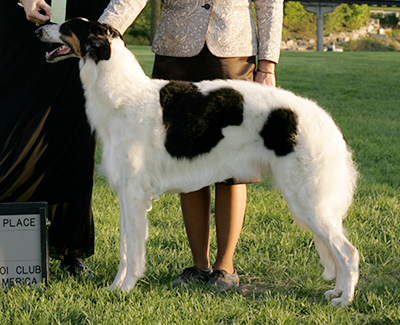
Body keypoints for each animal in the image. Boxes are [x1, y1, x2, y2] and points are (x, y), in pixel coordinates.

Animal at [37, 18, 360, 306]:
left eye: (67, 25)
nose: (39, 28)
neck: (123, 94)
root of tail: (325, 121)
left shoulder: (134, 194)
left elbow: (131, 250)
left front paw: (124, 288)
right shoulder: (127, 195)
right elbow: (128, 248)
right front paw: (118, 287)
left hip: (308, 200)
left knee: (348, 252)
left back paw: (344, 300)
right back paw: (336, 292)